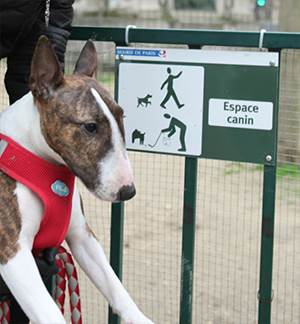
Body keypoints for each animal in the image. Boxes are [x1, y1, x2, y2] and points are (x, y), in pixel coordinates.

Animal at [0, 36, 155, 324]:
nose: (128, 192)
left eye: (122, 117)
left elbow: (116, 287)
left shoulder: (82, 235)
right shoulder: (13, 251)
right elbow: (50, 313)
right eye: (90, 127)